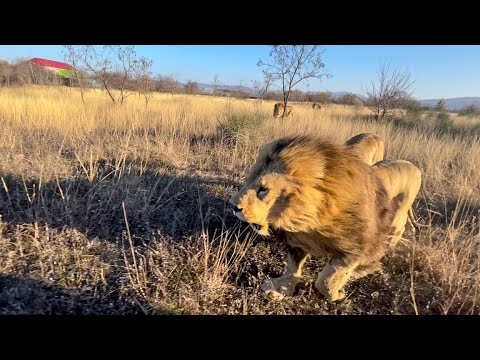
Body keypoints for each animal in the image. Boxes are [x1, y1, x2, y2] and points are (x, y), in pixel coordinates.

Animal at [229, 134, 402, 300]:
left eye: (263, 189)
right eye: (247, 180)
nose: (233, 207)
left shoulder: (356, 248)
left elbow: (327, 279)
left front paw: (337, 295)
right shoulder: (297, 241)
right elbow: (293, 268)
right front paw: (280, 288)